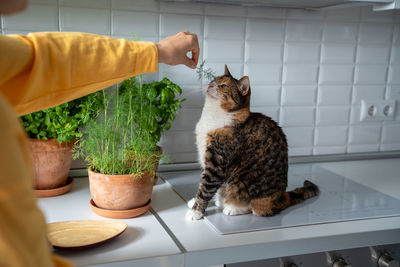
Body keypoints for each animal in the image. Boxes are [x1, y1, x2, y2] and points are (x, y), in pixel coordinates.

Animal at [186, 65, 320, 222]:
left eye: (224, 86)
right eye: (214, 79)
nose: (210, 84)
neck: (213, 116)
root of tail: (280, 198)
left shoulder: (216, 165)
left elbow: (205, 189)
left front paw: (196, 211)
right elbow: (204, 185)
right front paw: (195, 203)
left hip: (242, 184)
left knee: (254, 208)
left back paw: (232, 208)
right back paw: (220, 201)